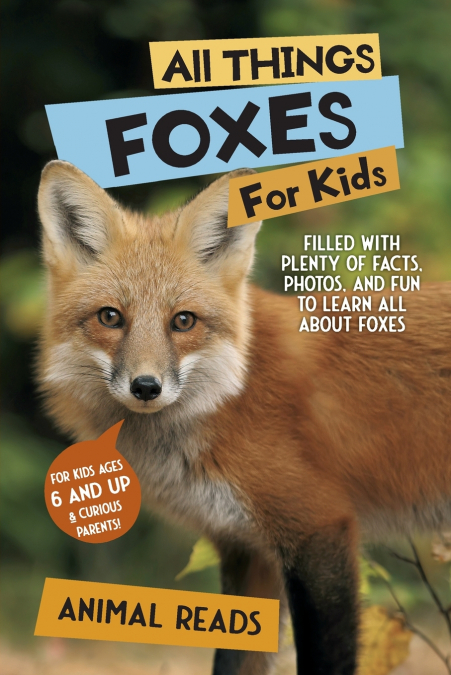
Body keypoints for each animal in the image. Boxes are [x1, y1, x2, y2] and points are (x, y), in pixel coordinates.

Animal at [37, 159, 451, 675]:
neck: (229, 395)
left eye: (184, 321)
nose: (146, 387)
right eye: (110, 317)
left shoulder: (318, 526)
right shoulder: (246, 547)